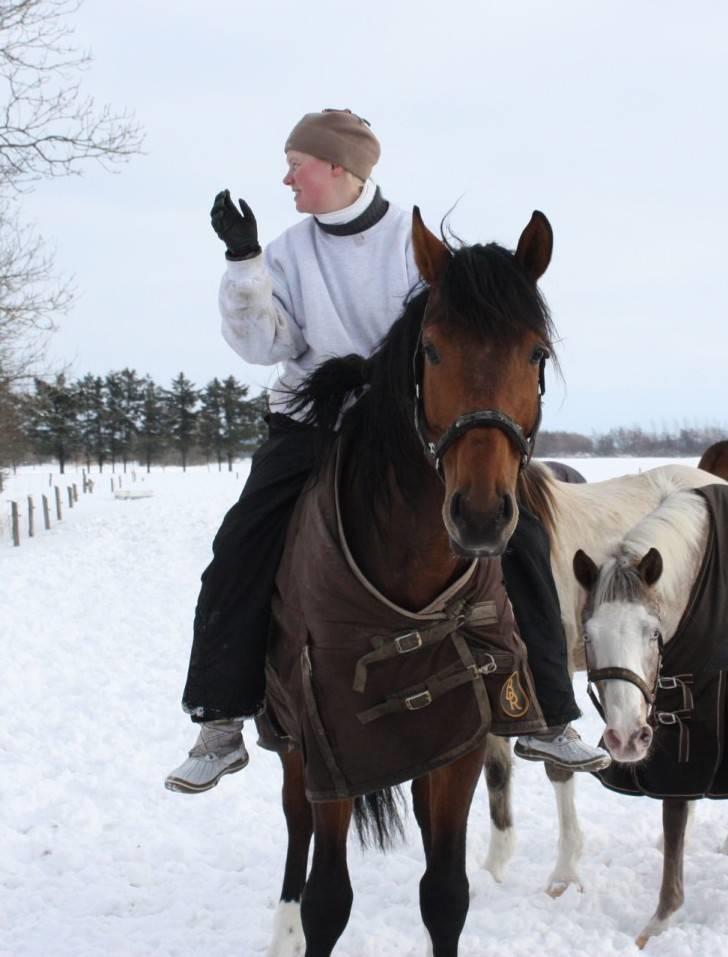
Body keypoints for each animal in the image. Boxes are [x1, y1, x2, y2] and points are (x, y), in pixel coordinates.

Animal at [264, 205, 556, 952]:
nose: (480, 515)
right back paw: (280, 925)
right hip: (289, 738)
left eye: (535, 353)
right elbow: (327, 900)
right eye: (432, 350)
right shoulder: (328, 749)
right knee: (294, 824)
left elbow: (446, 894)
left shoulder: (459, 741)